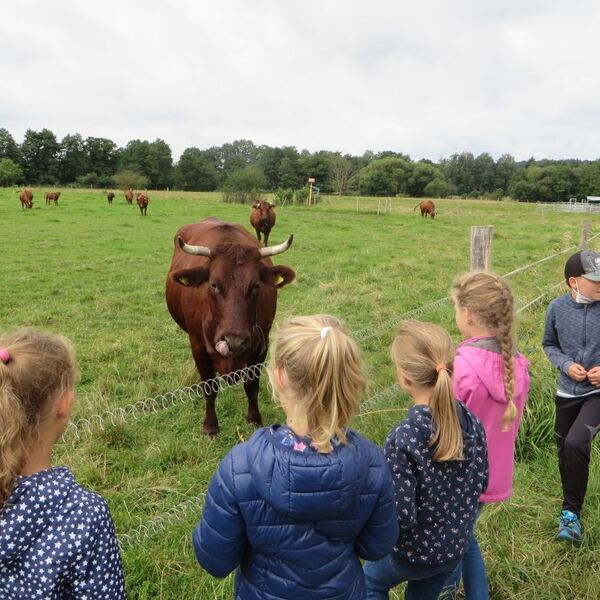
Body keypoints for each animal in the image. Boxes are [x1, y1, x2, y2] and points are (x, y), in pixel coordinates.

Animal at [165, 218, 296, 434]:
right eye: (213, 284)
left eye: (256, 285)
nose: (234, 341)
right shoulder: (197, 346)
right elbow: (209, 389)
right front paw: (210, 425)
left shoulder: (261, 346)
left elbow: (251, 385)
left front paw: (254, 418)